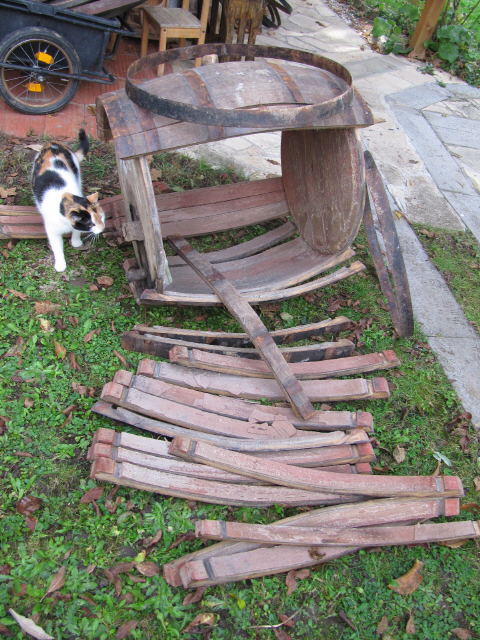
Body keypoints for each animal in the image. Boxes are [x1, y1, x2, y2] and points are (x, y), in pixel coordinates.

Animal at [32, 129, 105, 272]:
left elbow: (76, 231)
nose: (102, 228)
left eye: (101, 218)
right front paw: (60, 264)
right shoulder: (52, 229)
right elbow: (56, 246)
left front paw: (76, 242)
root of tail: (52, 143)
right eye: (91, 224)